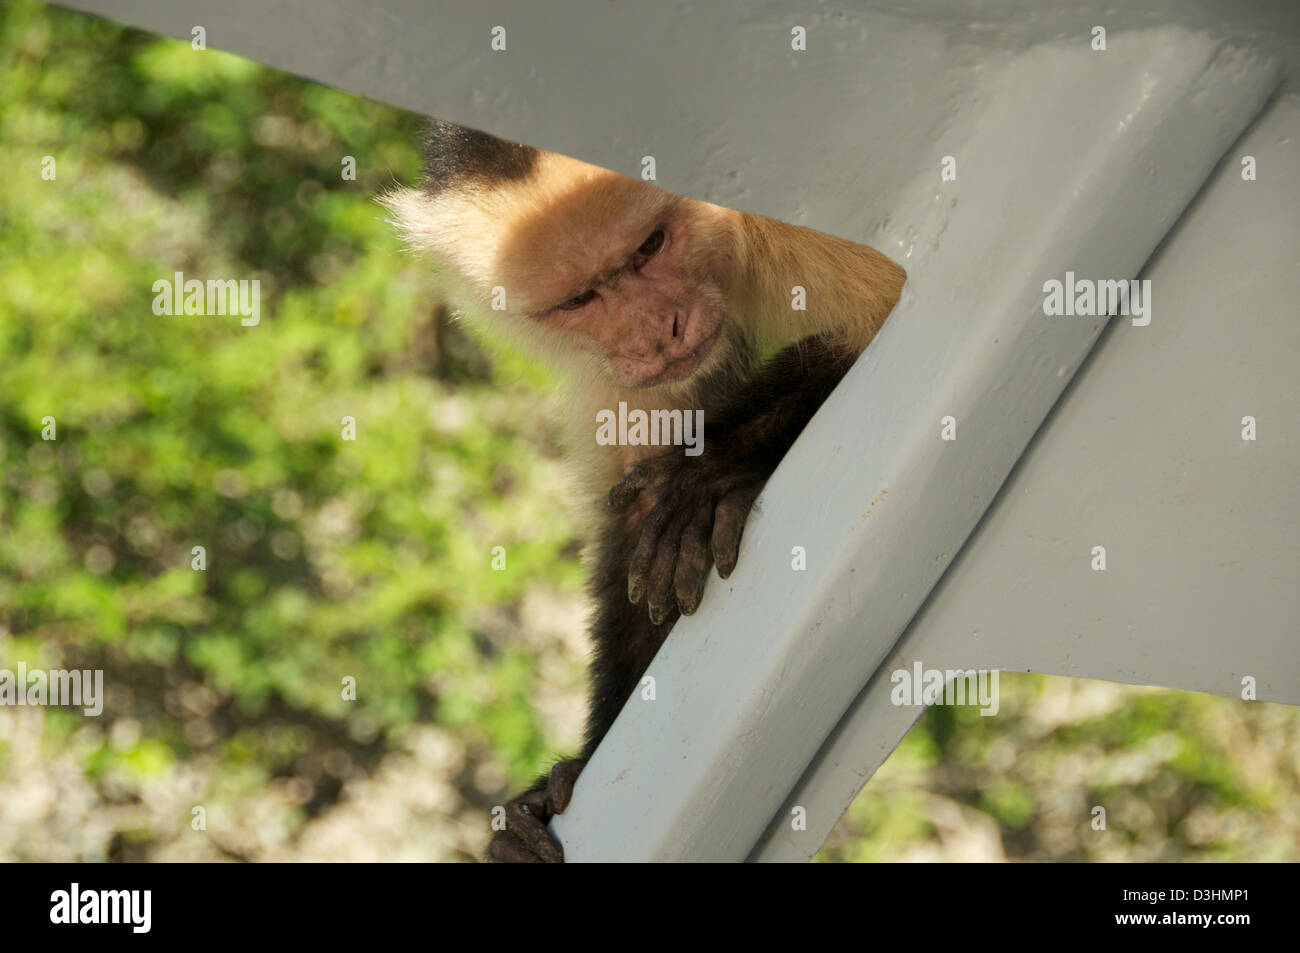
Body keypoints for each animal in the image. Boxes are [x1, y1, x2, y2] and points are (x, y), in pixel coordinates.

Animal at [382, 119, 905, 862]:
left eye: (649, 247)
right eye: (578, 299)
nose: (659, 329)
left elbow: (886, 322)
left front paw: (712, 474)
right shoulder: (614, 363)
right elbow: (633, 526)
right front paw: (558, 786)